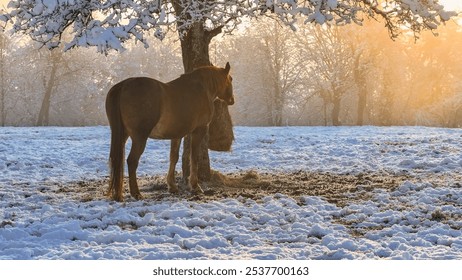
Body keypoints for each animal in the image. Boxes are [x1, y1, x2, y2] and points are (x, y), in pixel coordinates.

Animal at [105, 61, 235, 201]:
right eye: (230, 79)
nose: (232, 100)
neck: (202, 88)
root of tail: (124, 85)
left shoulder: (177, 134)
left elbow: (174, 157)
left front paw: (172, 186)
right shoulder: (199, 130)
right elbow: (194, 157)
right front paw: (195, 186)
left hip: (122, 135)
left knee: (116, 159)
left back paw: (117, 194)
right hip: (139, 137)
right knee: (132, 161)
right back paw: (136, 193)